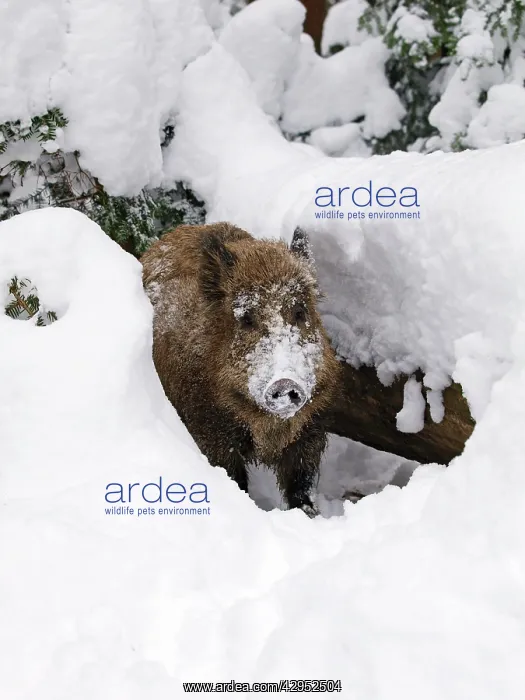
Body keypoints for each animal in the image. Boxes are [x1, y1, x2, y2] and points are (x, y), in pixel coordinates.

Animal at [141, 223, 340, 515]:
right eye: (246, 318)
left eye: (300, 311)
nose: (285, 383)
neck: (267, 431)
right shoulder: (209, 431)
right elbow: (234, 479)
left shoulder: (310, 431)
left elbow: (300, 485)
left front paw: (310, 515)